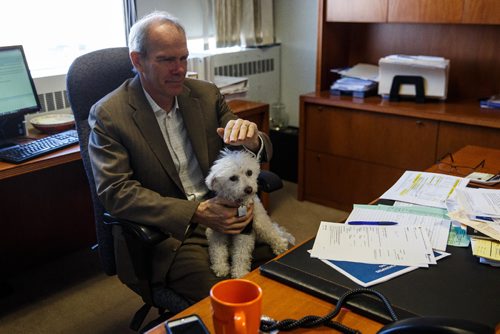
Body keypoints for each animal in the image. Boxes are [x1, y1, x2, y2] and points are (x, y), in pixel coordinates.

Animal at [205, 150, 294, 278]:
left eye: (249, 172)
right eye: (233, 178)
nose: (249, 189)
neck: (238, 204)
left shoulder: (245, 232)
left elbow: (241, 255)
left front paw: (240, 273)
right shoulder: (217, 232)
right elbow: (218, 251)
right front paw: (220, 267)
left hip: (259, 221)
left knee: (271, 232)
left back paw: (280, 245)